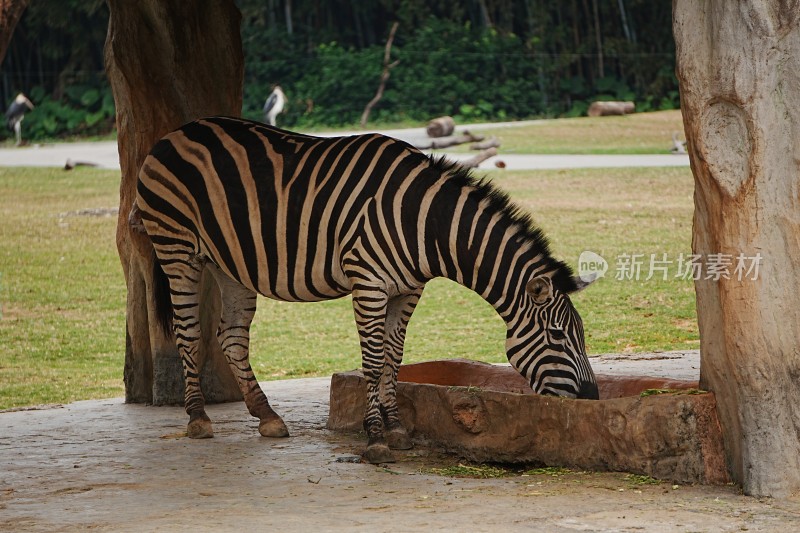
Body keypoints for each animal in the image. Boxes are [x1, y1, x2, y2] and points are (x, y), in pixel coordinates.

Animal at [136, 115, 600, 462]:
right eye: (557, 336)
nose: (593, 398)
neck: (425, 225)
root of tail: (176, 132)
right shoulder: (369, 284)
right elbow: (374, 363)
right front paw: (375, 437)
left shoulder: (408, 290)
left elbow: (394, 360)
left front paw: (395, 428)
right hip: (177, 247)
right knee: (188, 332)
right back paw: (198, 419)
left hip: (228, 262)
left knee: (231, 336)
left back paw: (266, 415)